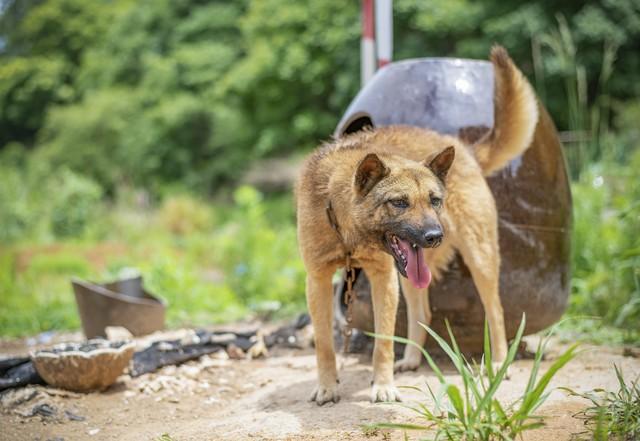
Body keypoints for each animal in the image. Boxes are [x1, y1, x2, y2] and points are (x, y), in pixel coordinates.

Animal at [298, 46, 536, 404]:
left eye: (434, 200)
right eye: (399, 202)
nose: (435, 235)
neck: (345, 223)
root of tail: (465, 150)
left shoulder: (383, 278)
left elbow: (382, 344)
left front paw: (383, 386)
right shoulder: (319, 281)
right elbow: (325, 345)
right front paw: (327, 385)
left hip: (479, 259)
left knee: (495, 312)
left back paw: (497, 362)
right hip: (411, 273)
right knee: (423, 313)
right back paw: (410, 359)